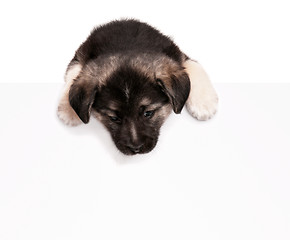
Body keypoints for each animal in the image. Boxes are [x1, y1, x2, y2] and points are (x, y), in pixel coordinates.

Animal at [57, 18, 218, 154]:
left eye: (148, 113)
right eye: (113, 118)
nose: (136, 148)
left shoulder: (179, 56)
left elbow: (193, 66)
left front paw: (205, 103)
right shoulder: (80, 58)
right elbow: (74, 74)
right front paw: (68, 110)